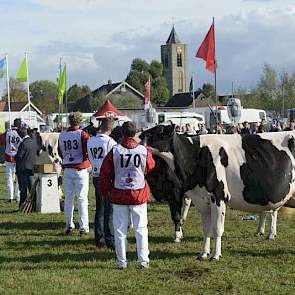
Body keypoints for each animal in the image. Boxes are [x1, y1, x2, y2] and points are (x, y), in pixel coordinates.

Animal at [140, 126, 295, 260]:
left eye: (159, 131)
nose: (140, 136)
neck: (197, 155)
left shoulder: (218, 196)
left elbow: (216, 229)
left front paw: (215, 255)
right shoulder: (202, 200)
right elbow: (206, 229)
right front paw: (203, 253)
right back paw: (268, 233)